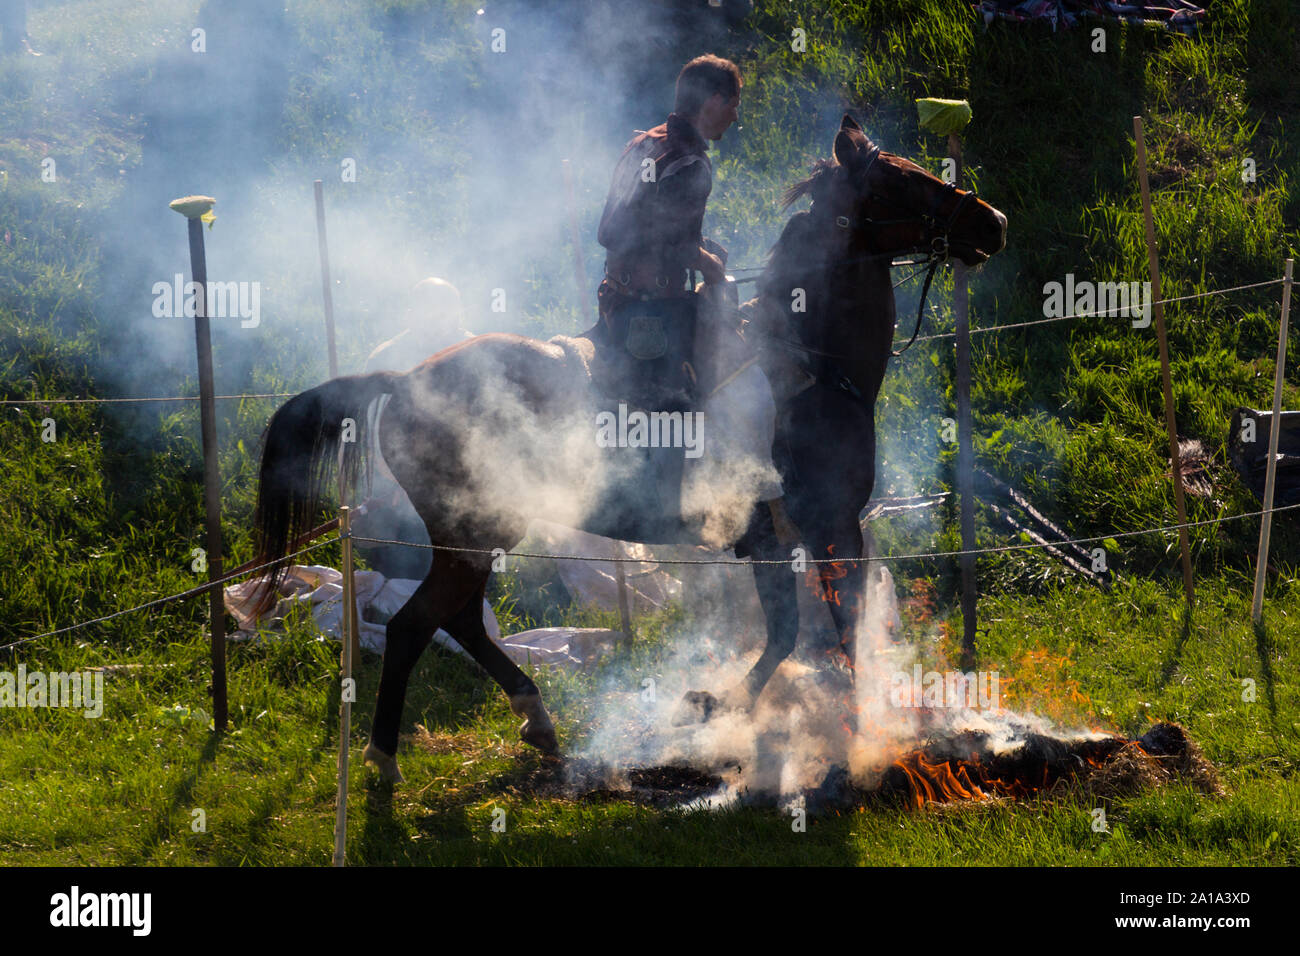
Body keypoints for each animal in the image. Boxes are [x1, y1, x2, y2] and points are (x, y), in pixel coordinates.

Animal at [248, 115, 1008, 780]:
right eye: (903, 183)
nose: (991, 223)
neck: (810, 360)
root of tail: (404, 380)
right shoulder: (831, 524)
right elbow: (839, 628)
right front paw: (852, 734)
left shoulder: (772, 534)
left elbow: (787, 631)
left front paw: (714, 704)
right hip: (474, 534)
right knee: (415, 627)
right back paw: (384, 757)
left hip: (475, 537)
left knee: (458, 621)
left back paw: (537, 721)